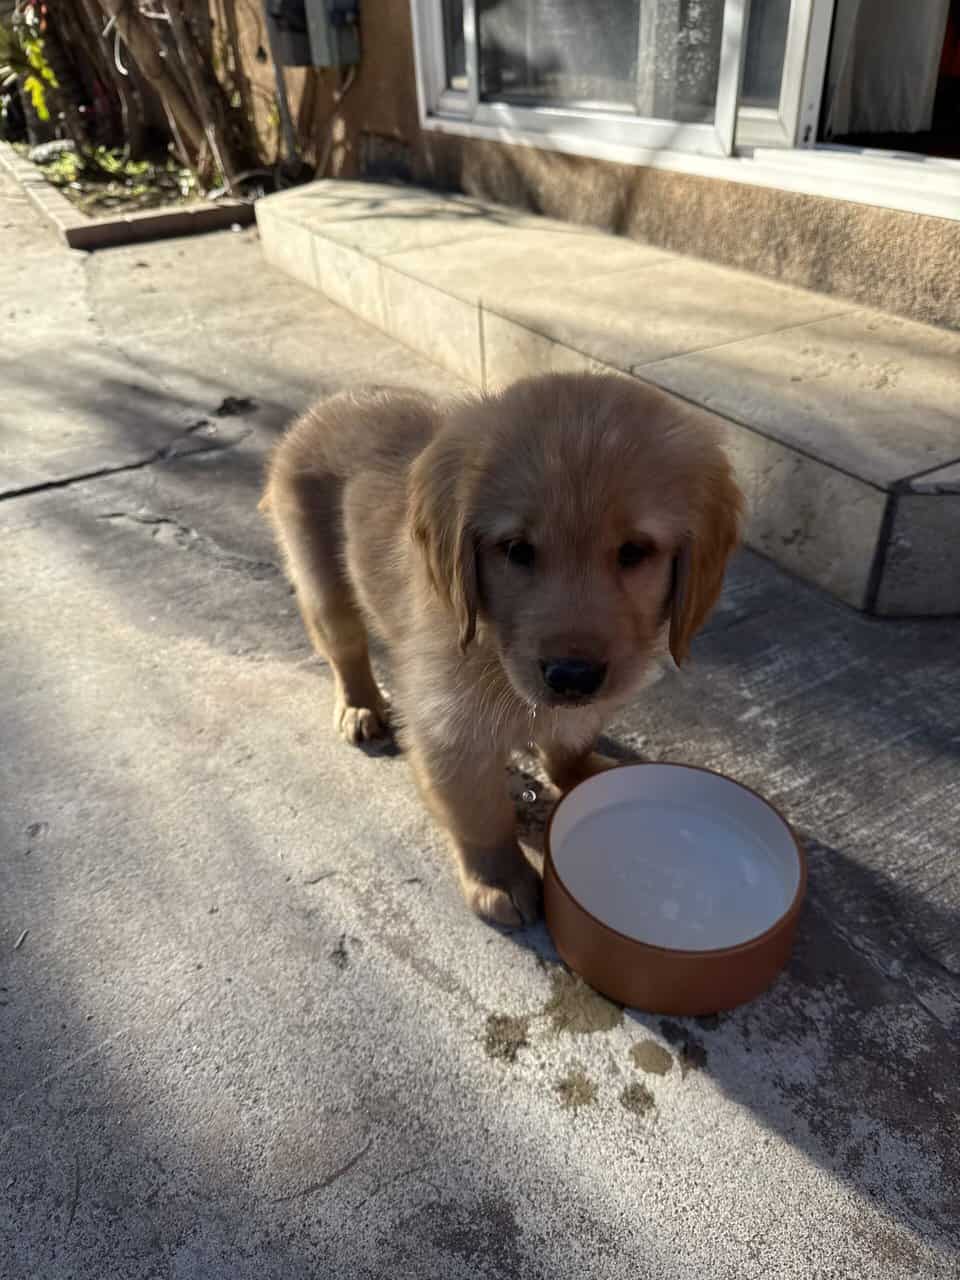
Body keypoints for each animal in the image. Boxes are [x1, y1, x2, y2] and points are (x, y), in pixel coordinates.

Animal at [261, 373, 742, 926]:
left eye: (635, 551)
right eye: (516, 550)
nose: (572, 676)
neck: (494, 649)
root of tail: (330, 404)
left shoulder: (585, 705)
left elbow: (569, 744)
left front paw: (585, 773)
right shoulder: (450, 726)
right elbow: (482, 813)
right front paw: (500, 878)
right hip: (321, 583)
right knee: (345, 648)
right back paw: (360, 705)